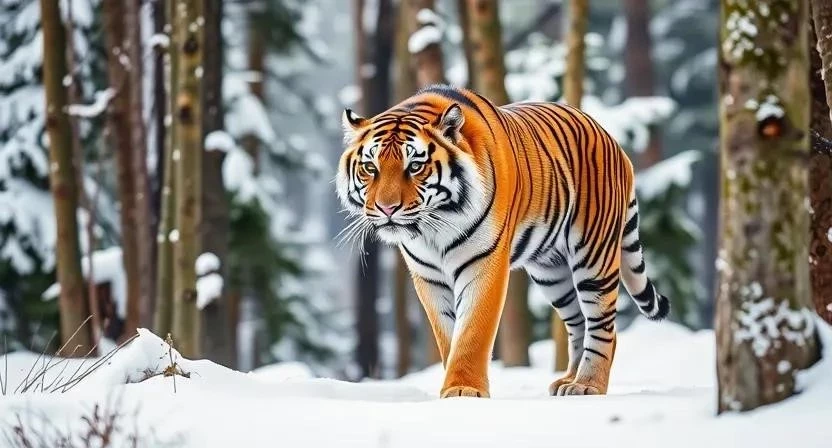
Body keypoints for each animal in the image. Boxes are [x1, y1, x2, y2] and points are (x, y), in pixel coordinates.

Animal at [336, 84, 670, 398]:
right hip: (551, 272)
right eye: (370, 168)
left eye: (415, 167)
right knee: (578, 323)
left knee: (602, 326)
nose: (386, 208)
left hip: (593, 257)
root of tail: (612, 139)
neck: (434, 229)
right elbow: (447, 333)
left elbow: (472, 331)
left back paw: (587, 385)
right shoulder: (428, 276)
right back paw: (567, 380)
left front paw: (463, 389)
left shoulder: (484, 264)